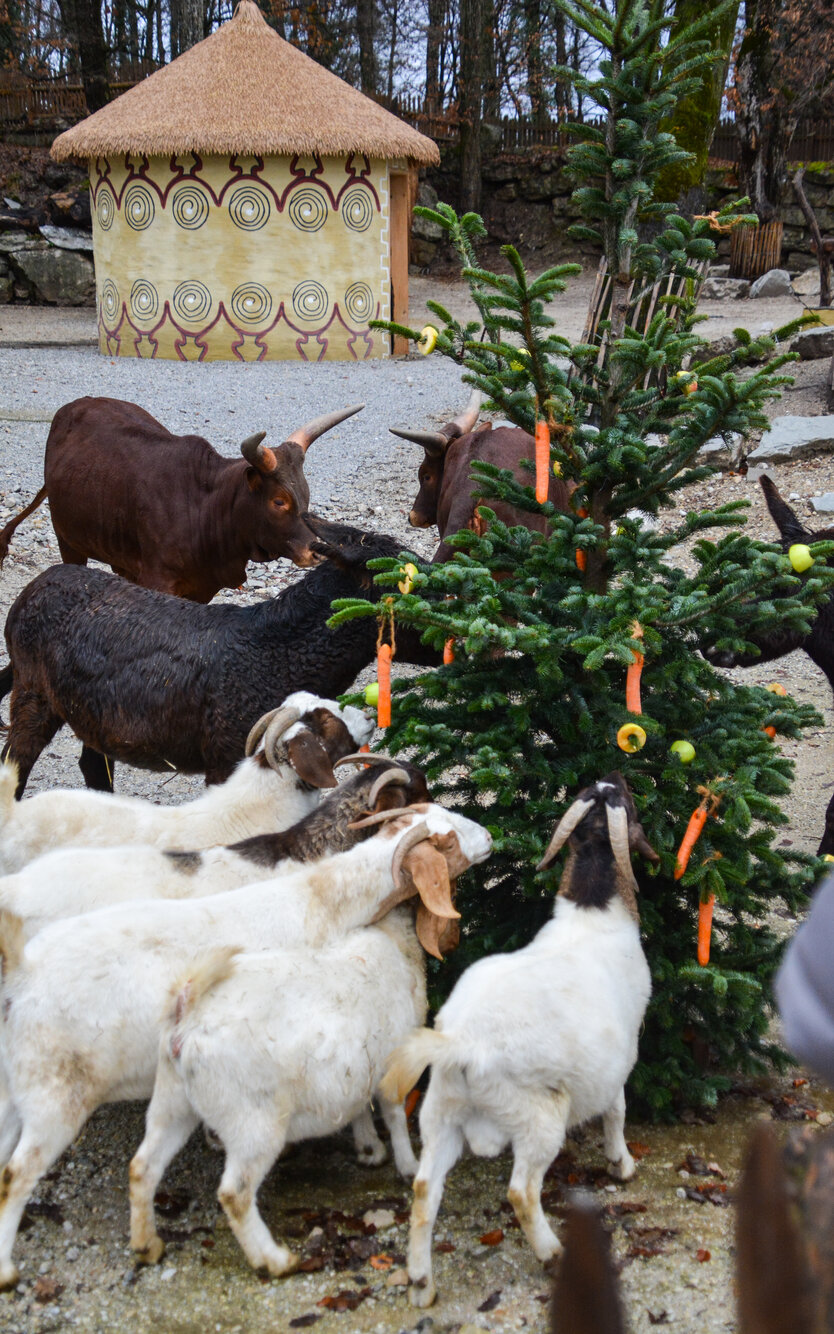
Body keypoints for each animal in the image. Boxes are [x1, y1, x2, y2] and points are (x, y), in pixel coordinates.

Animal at [0, 394, 360, 600]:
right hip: (68, 540)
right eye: (279, 501)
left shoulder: (199, 587)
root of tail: (76, 405)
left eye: (306, 493)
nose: (314, 551)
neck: (204, 507)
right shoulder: (157, 579)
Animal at [130, 907, 429, 1269]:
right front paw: (408, 1165)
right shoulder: (394, 1069)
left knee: (143, 1167)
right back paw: (275, 1261)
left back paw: (147, 1246)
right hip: (253, 1124)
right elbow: (395, 1115)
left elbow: (359, 1109)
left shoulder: (358, 1074)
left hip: (172, 1100)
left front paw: (370, 1150)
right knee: (235, 1194)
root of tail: (188, 1016)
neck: (391, 939)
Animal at [381, 773, 659, 1301]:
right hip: (537, 1118)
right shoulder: (621, 1059)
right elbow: (616, 1110)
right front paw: (622, 1164)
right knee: (521, 1191)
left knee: (425, 1190)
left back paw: (422, 1281)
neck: (592, 914)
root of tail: (464, 1044)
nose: (618, 775)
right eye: (630, 805)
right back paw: (553, 1253)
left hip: (440, 1111)